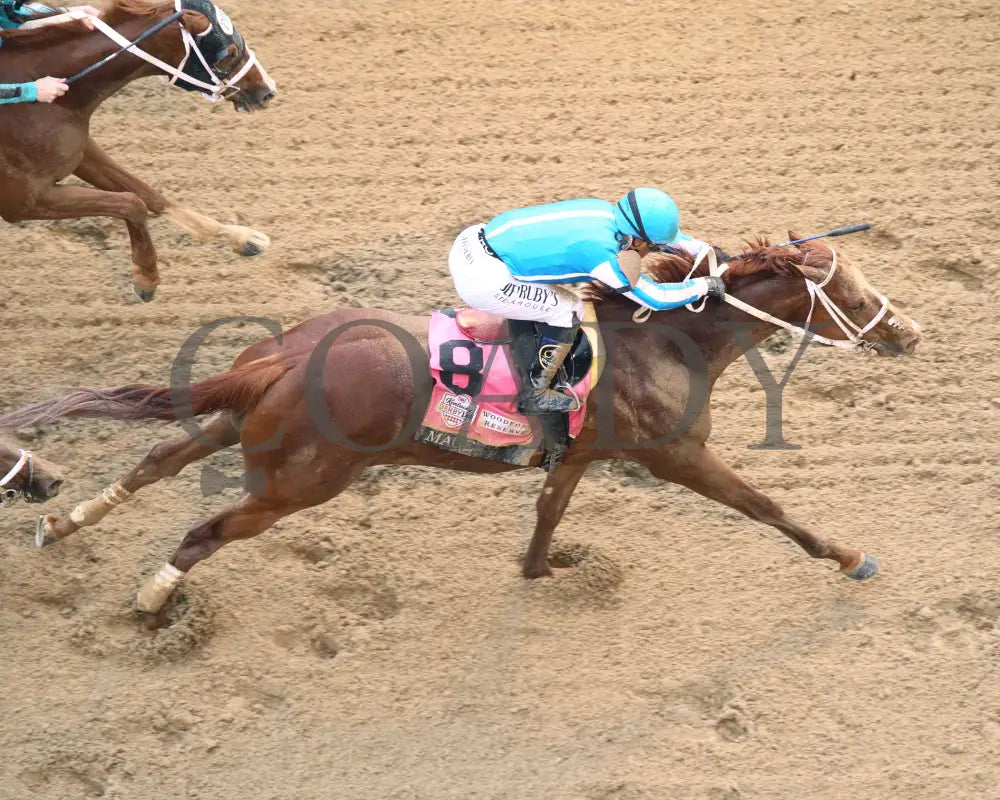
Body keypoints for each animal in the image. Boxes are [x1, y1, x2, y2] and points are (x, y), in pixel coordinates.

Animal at [0, 0, 278, 300]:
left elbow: (148, 194)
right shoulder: (22, 202)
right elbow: (131, 203)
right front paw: (147, 277)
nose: (267, 90)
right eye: (229, 53)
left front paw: (244, 238)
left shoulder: (80, 151)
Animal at [0, 234, 920, 616]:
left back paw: (63, 520)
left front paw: (544, 569)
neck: (665, 337)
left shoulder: (582, 451)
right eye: (851, 291)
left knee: (158, 457)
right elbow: (768, 508)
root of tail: (284, 358)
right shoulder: (678, 455)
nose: (909, 333)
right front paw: (852, 556)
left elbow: (549, 511)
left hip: (242, 426)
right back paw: (153, 598)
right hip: (300, 481)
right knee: (205, 529)